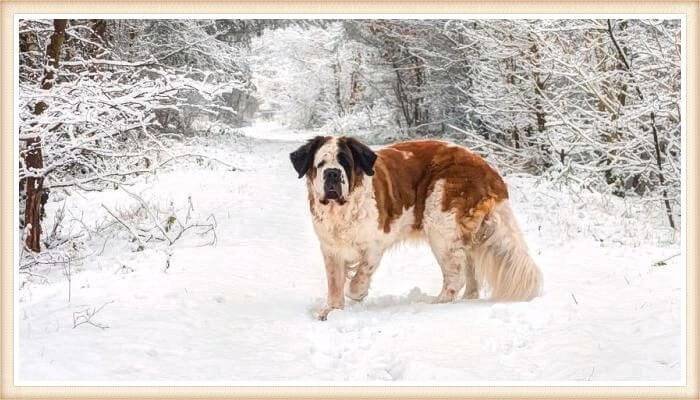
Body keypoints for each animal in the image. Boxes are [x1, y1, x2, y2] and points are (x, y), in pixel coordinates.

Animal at [290, 136, 540, 320]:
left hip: (439, 226)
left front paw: (357, 294)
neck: (342, 210)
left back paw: (435, 305)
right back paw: (467, 299)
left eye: (345, 162)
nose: (332, 173)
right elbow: (334, 282)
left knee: (454, 277)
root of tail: (489, 169)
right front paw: (332, 311)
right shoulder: (330, 248)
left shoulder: (376, 242)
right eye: (320, 164)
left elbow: (359, 275)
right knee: (470, 272)